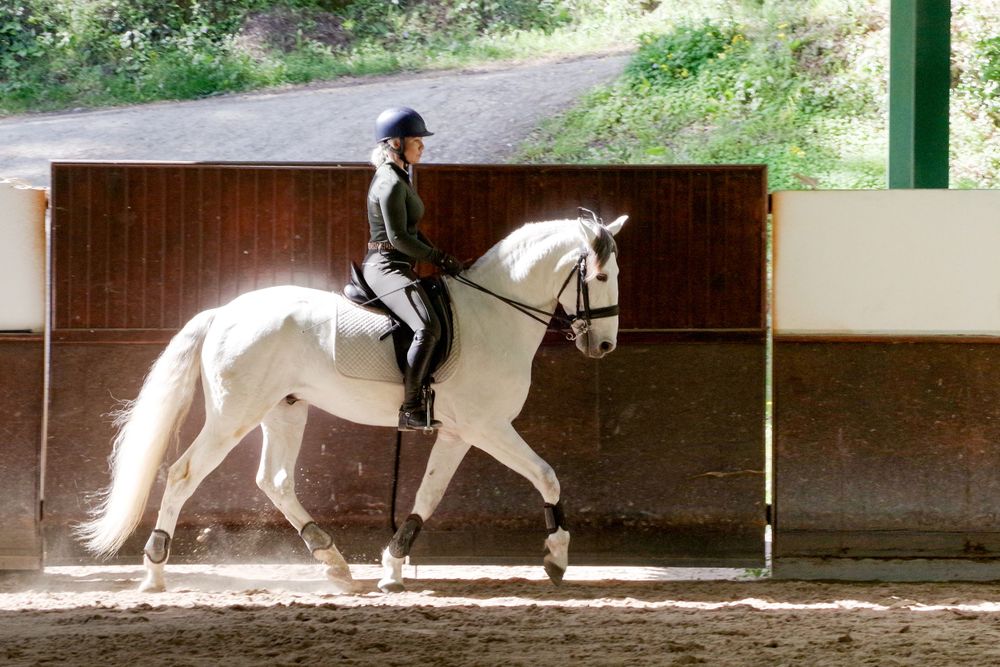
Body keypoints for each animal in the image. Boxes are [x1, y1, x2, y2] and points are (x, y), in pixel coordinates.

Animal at [76, 212, 628, 593]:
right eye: (601, 277)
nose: (603, 346)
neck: (493, 314)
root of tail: (224, 311)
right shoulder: (487, 427)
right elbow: (547, 475)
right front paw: (556, 557)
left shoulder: (459, 432)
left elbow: (428, 496)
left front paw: (393, 567)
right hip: (235, 415)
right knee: (183, 474)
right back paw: (155, 573)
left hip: (284, 409)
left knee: (275, 480)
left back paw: (335, 564)